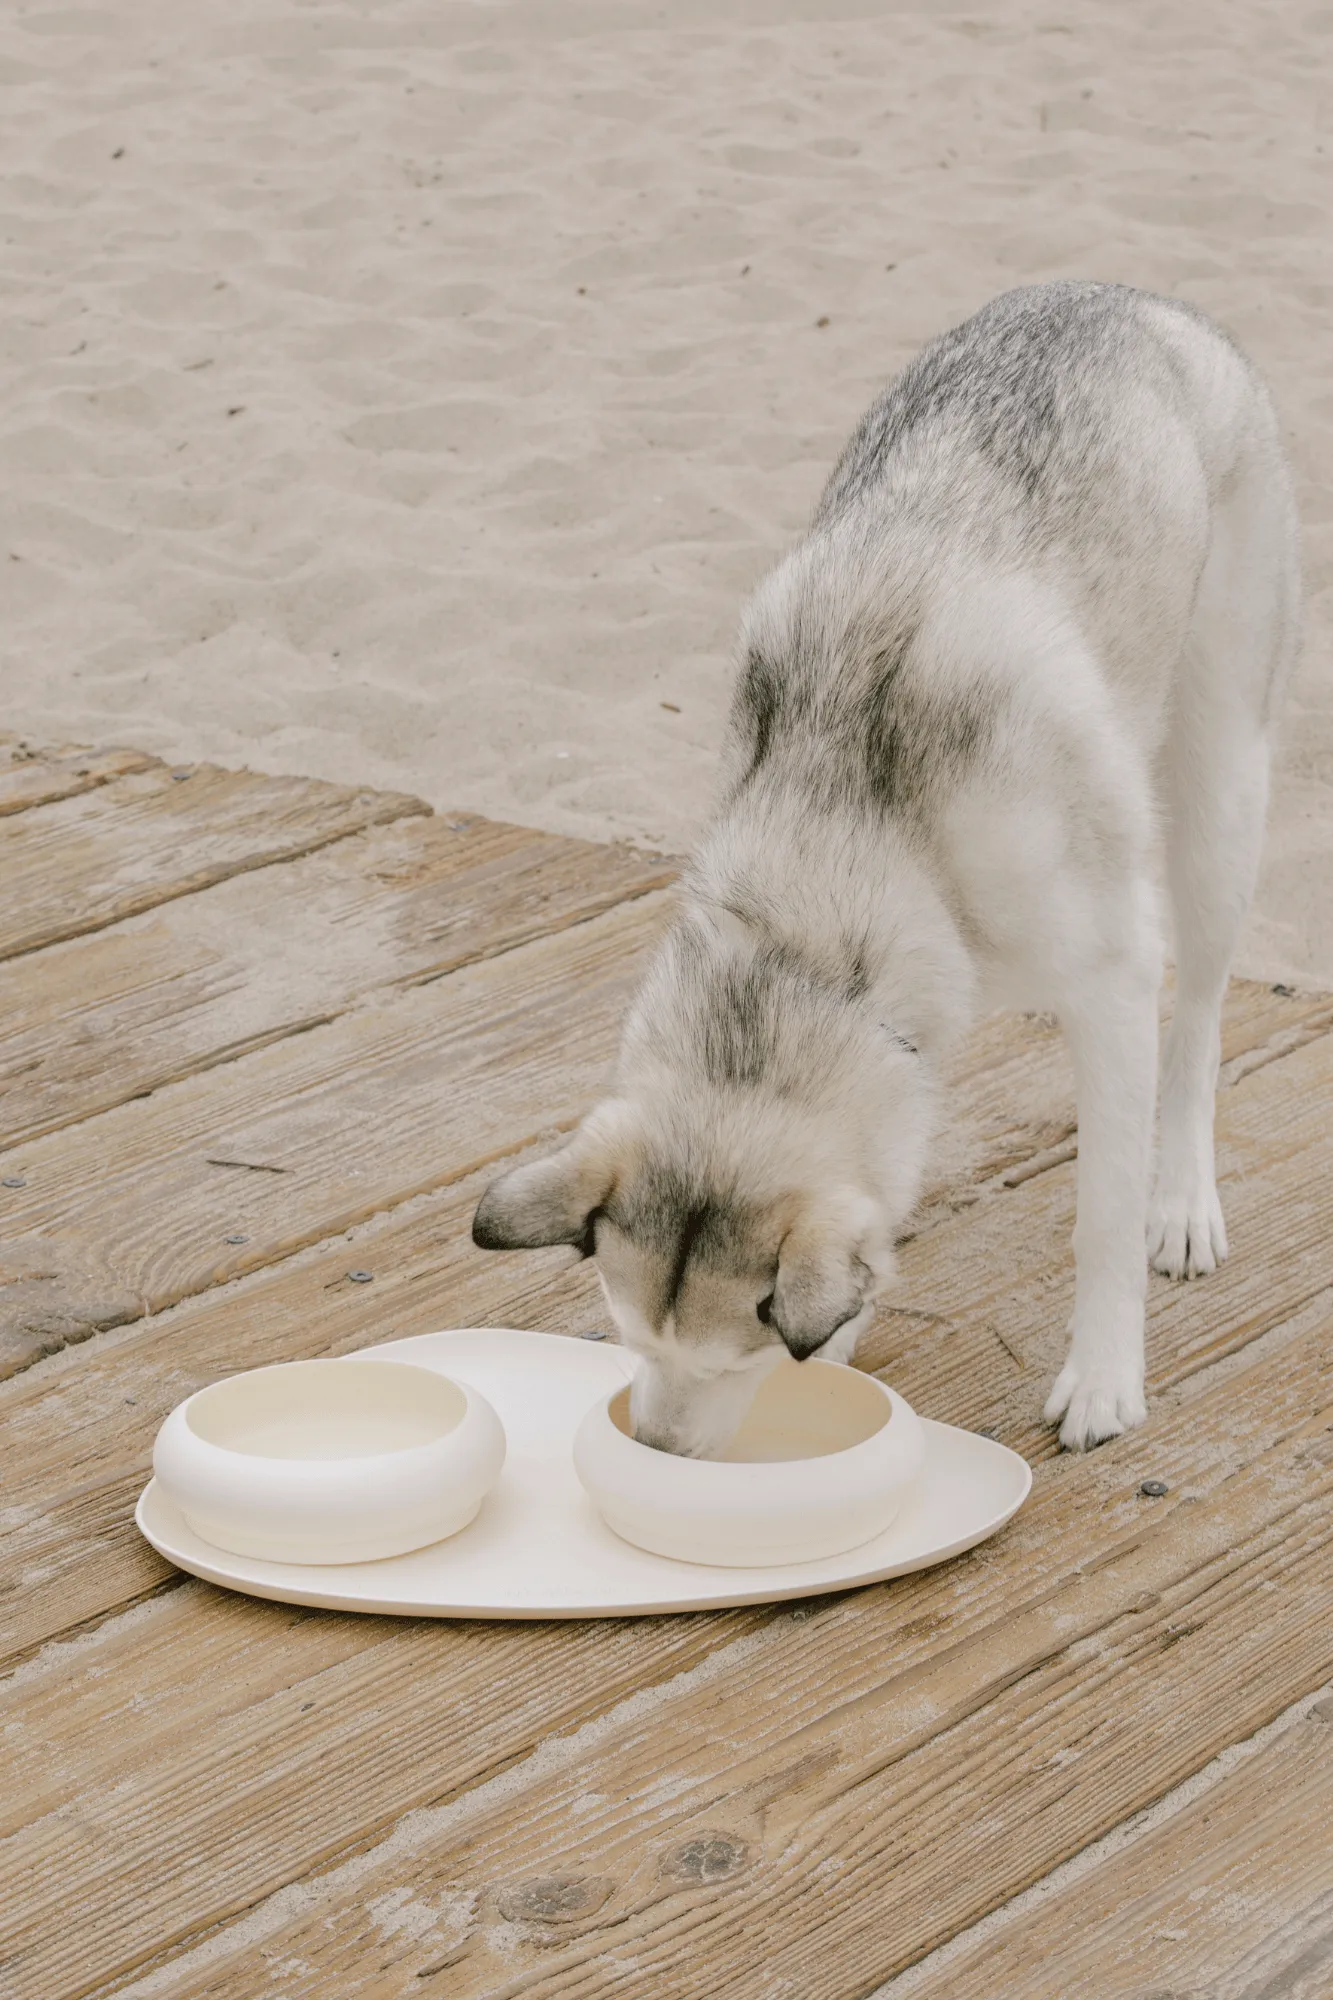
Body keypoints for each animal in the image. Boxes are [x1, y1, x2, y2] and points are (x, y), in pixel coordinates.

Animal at [466, 282, 1288, 1456]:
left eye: (737, 1355)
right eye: (626, 1334)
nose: (655, 1451)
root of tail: (1129, 299)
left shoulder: (1113, 979)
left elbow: (1100, 1215)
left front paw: (1102, 1375)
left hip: (1220, 796)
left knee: (1203, 1017)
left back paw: (1179, 1199)